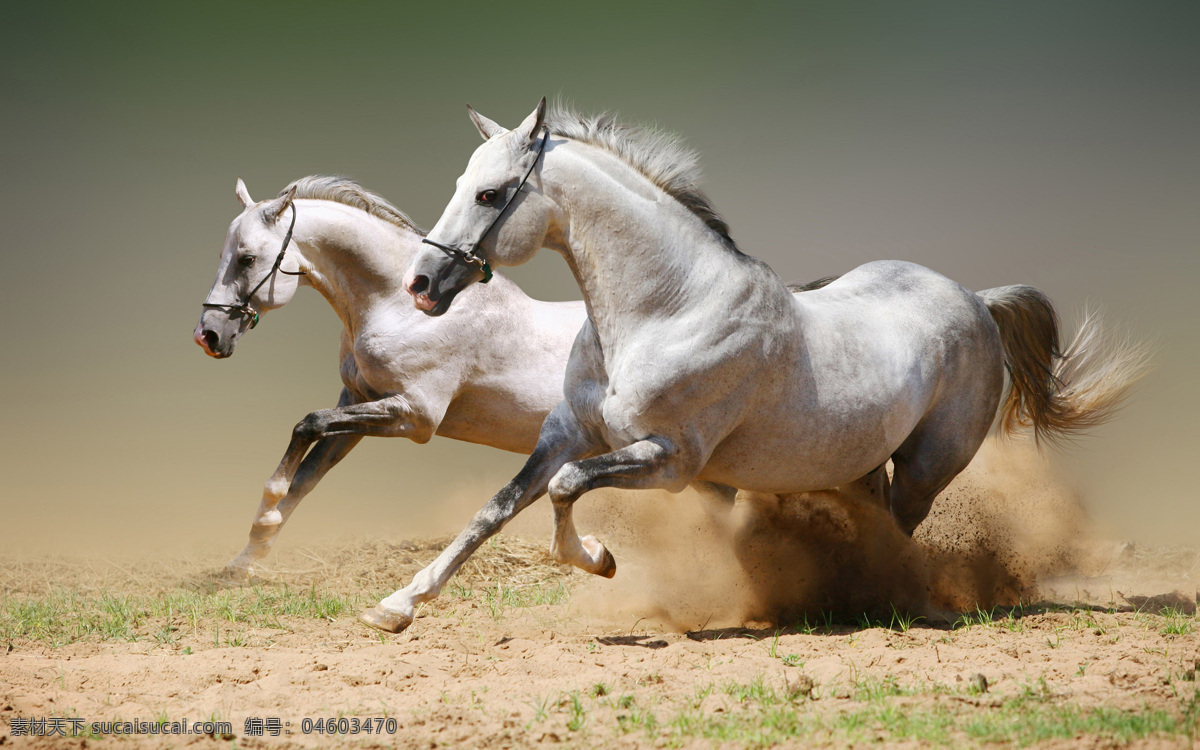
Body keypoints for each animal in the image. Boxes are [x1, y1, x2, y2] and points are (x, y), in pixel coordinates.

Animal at [192, 175, 585, 573]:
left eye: (247, 259)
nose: (207, 335)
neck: (401, 308)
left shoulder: (415, 416)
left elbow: (308, 424)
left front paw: (266, 513)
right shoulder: (359, 403)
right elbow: (305, 476)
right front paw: (245, 559)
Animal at [362, 97, 1142, 633]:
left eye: (490, 194)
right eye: (463, 182)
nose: (422, 284)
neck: (666, 311)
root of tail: (977, 300)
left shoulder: (671, 460)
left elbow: (564, 489)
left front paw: (600, 559)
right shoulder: (567, 433)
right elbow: (495, 510)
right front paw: (396, 605)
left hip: (928, 465)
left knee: (901, 531)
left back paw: (888, 599)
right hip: (858, 464)